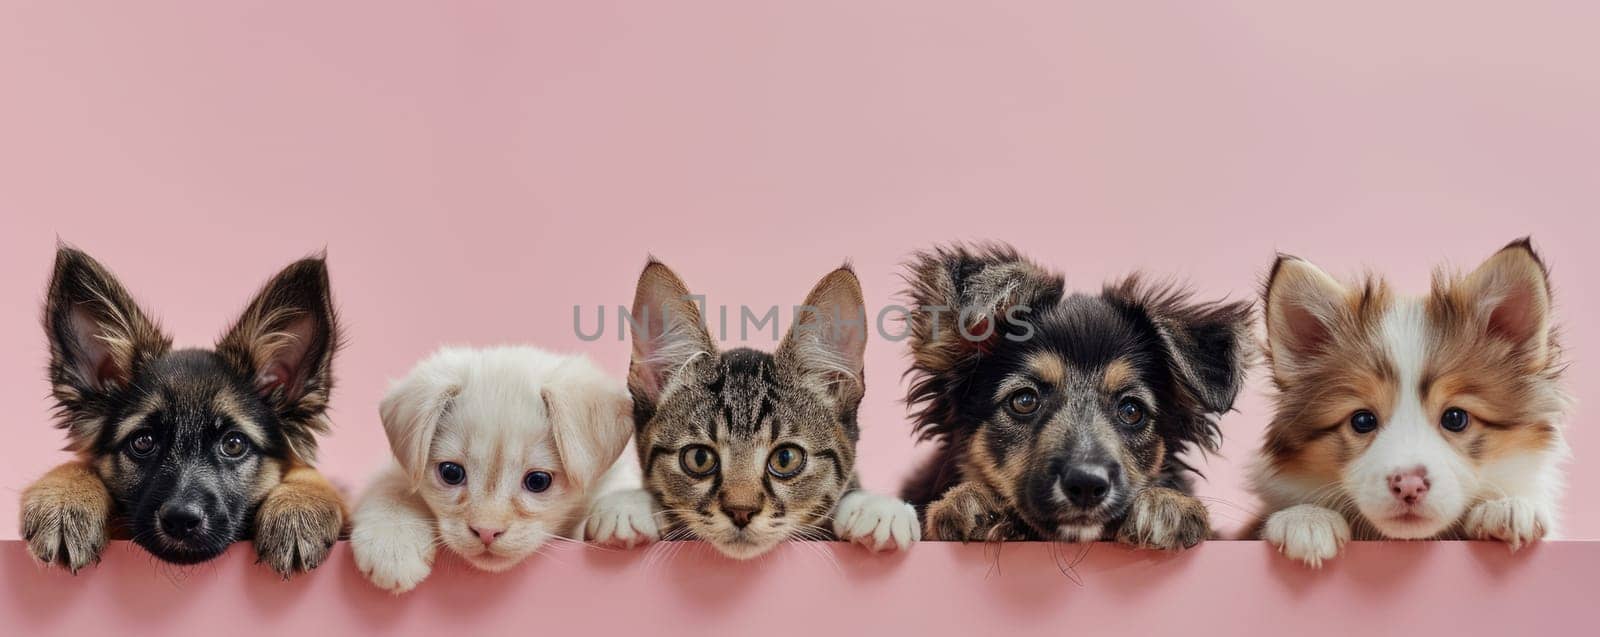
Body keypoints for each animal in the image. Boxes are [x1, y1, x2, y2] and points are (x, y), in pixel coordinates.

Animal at [19, 246, 347, 576]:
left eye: (234, 444)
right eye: (143, 441)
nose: (180, 521)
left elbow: (312, 476)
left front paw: (298, 509)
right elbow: (78, 464)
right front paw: (64, 501)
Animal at [353, 345, 627, 595]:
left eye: (538, 481)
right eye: (451, 473)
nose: (486, 532)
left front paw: (622, 510)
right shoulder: (396, 473)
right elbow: (391, 490)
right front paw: (392, 542)